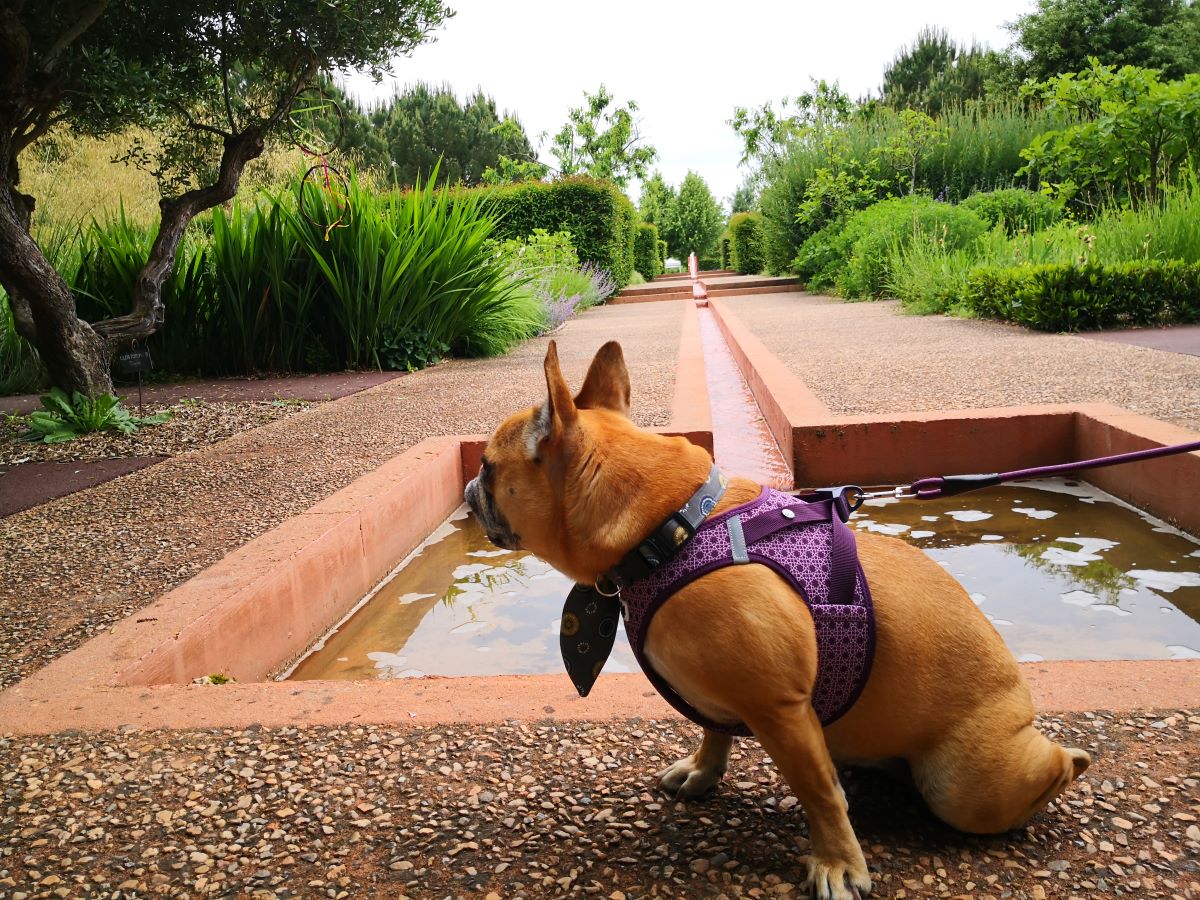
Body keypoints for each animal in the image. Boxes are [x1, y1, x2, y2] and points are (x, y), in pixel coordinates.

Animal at [463, 340, 1094, 900]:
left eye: (489, 468)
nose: (469, 488)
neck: (670, 529)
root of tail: (1023, 706)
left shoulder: (779, 708)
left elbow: (818, 794)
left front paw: (838, 863)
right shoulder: (730, 693)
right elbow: (713, 729)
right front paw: (703, 771)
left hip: (962, 786)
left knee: (1041, 773)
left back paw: (1073, 762)